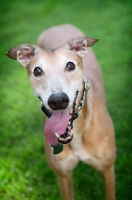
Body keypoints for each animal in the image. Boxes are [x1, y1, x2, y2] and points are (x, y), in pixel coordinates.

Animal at [6, 24, 115, 199]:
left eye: (70, 65)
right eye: (37, 71)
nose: (57, 101)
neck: (75, 134)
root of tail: (58, 25)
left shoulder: (107, 169)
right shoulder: (63, 176)